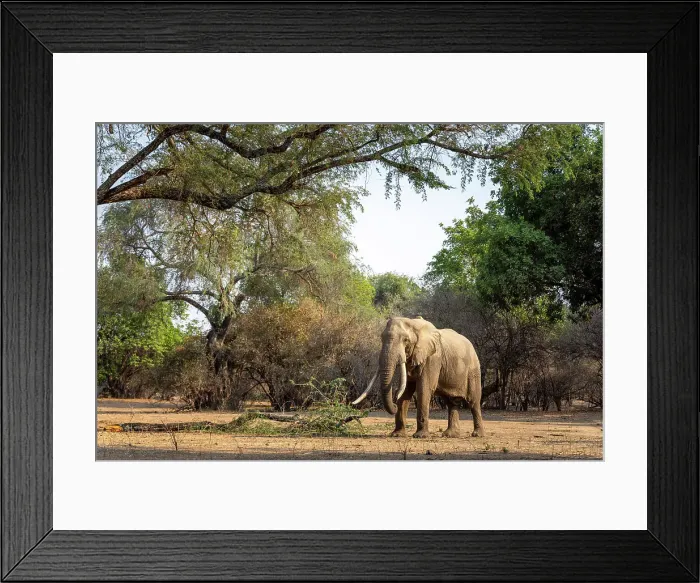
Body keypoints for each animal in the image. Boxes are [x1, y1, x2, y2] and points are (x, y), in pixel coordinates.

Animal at [353, 316, 484, 438]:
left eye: (406, 340)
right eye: (381, 338)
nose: (394, 402)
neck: (414, 324)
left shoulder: (432, 358)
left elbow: (424, 389)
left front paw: (420, 436)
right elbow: (406, 391)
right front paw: (397, 435)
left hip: (473, 370)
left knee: (473, 401)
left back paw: (477, 434)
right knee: (451, 401)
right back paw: (450, 435)